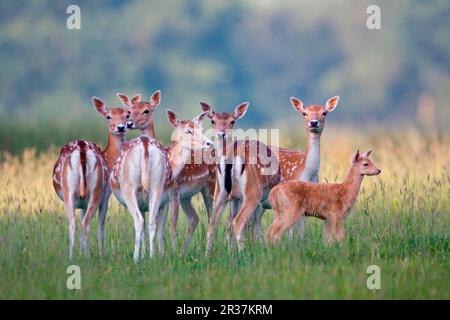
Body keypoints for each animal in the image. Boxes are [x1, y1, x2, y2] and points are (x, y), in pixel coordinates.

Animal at [54, 98, 130, 260]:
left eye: (127, 115)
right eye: (108, 116)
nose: (121, 127)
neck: (108, 158)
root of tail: (82, 150)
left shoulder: (84, 201)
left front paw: (82, 252)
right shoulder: (106, 196)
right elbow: (101, 228)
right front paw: (101, 255)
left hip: (71, 190)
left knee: (75, 223)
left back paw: (73, 257)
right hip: (96, 190)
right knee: (85, 223)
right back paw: (88, 257)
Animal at [110, 109, 213, 262]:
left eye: (200, 129)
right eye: (189, 131)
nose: (209, 143)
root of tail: (145, 146)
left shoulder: (168, 198)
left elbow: (164, 226)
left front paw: (158, 254)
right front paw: (153, 254)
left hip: (131, 188)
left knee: (140, 221)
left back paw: (137, 259)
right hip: (166, 191)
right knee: (193, 218)